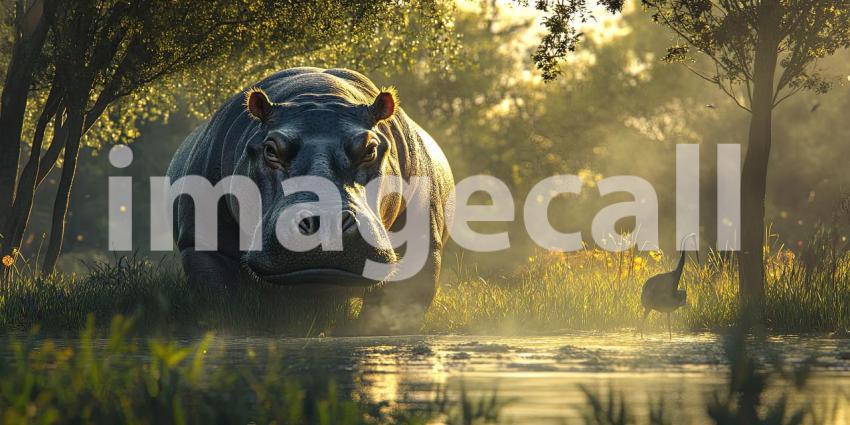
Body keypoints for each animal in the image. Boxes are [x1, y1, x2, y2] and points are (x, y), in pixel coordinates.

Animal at [166, 67, 453, 333]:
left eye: (370, 148)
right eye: (270, 149)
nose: (327, 221)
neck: (319, 95)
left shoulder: (422, 243)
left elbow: (395, 309)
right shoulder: (201, 242)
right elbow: (224, 302)